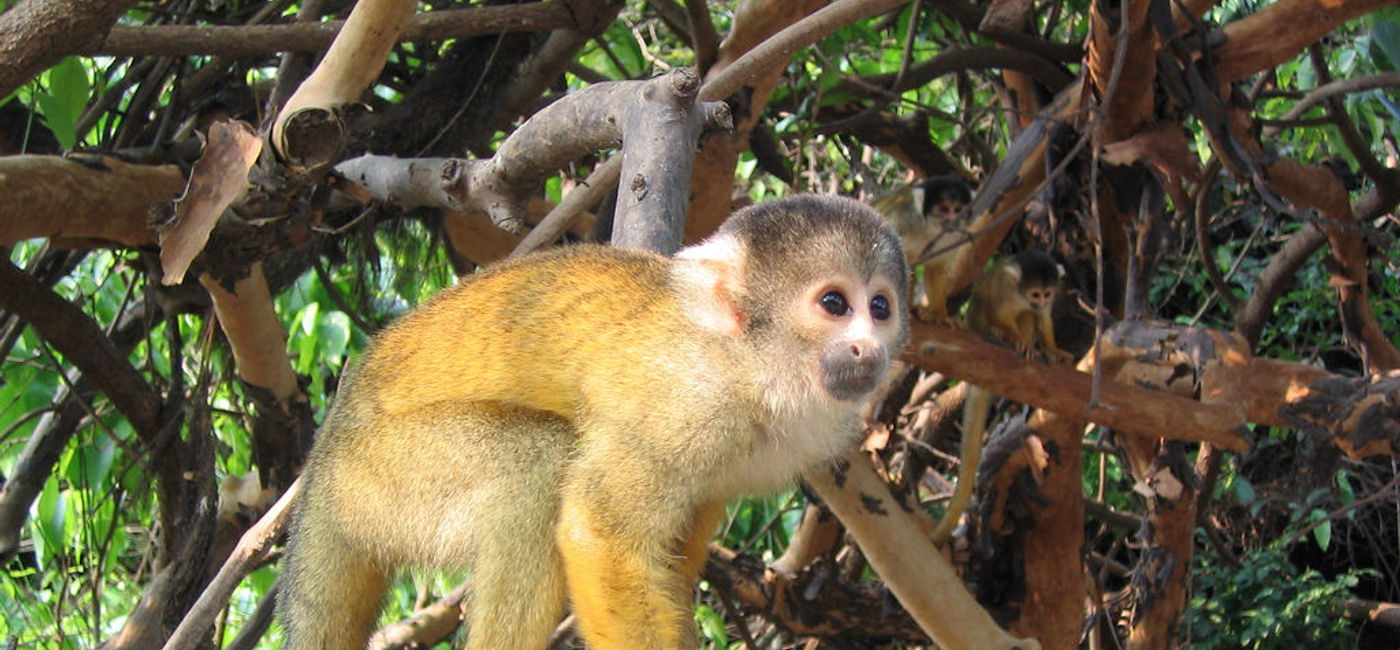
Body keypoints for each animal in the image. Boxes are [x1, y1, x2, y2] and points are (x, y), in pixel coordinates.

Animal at [277, 194, 910, 650]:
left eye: (879, 307)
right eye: (834, 304)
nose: (867, 348)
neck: (752, 370)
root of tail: (324, 455)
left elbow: (670, 555)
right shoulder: (682, 403)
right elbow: (601, 533)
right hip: (376, 479)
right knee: (536, 466)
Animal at [870, 175, 972, 322]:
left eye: (958, 209)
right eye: (944, 209)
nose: (953, 220)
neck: (930, 228)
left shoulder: (955, 237)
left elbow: (937, 269)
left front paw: (940, 314)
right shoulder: (905, 219)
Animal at [930, 250, 1072, 545]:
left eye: (1047, 294)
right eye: (1035, 293)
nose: (1040, 301)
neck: (1021, 294)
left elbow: (1042, 319)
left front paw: (1053, 349)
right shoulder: (1005, 289)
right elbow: (1001, 311)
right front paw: (1020, 341)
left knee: (1029, 317)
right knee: (987, 304)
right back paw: (997, 335)